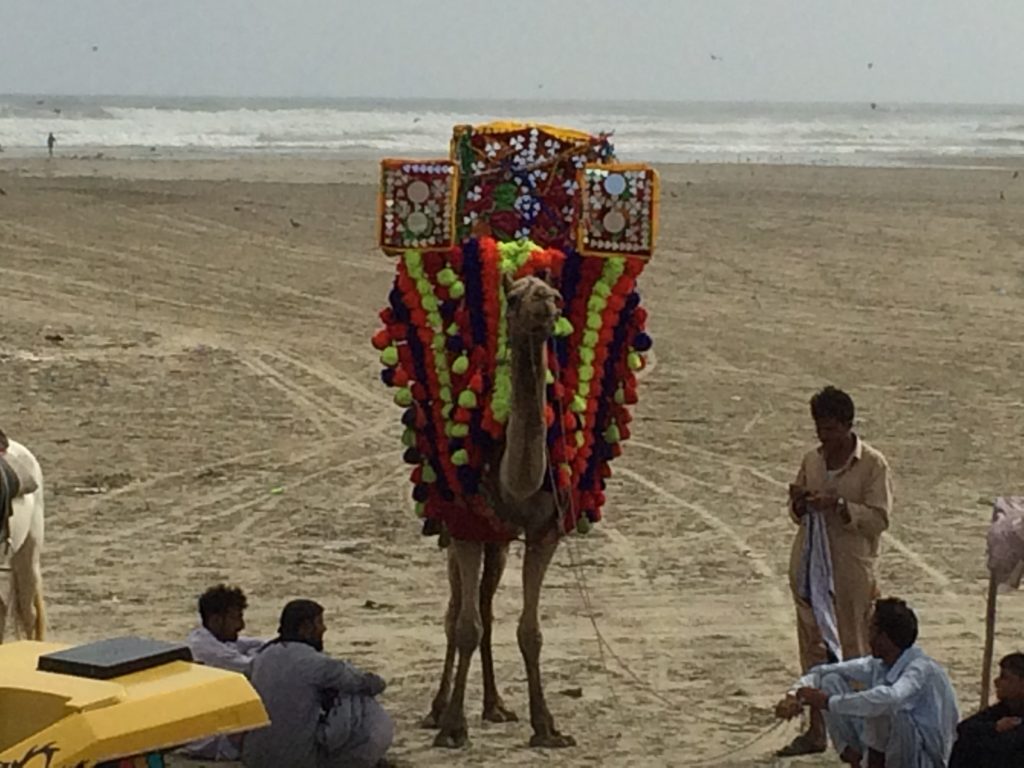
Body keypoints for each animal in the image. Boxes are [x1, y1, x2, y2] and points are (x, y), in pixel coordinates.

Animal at [417, 272, 577, 753]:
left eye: (556, 295)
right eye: (514, 297)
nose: (545, 304)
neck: (514, 479)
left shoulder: (544, 533)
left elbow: (530, 631)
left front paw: (546, 726)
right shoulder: (466, 531)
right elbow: (464, 626)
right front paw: (452, 726)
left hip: (500, 543)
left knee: (485, 608)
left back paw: (495, 705)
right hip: (455, 534)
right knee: (457, 611)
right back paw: (438, 709)